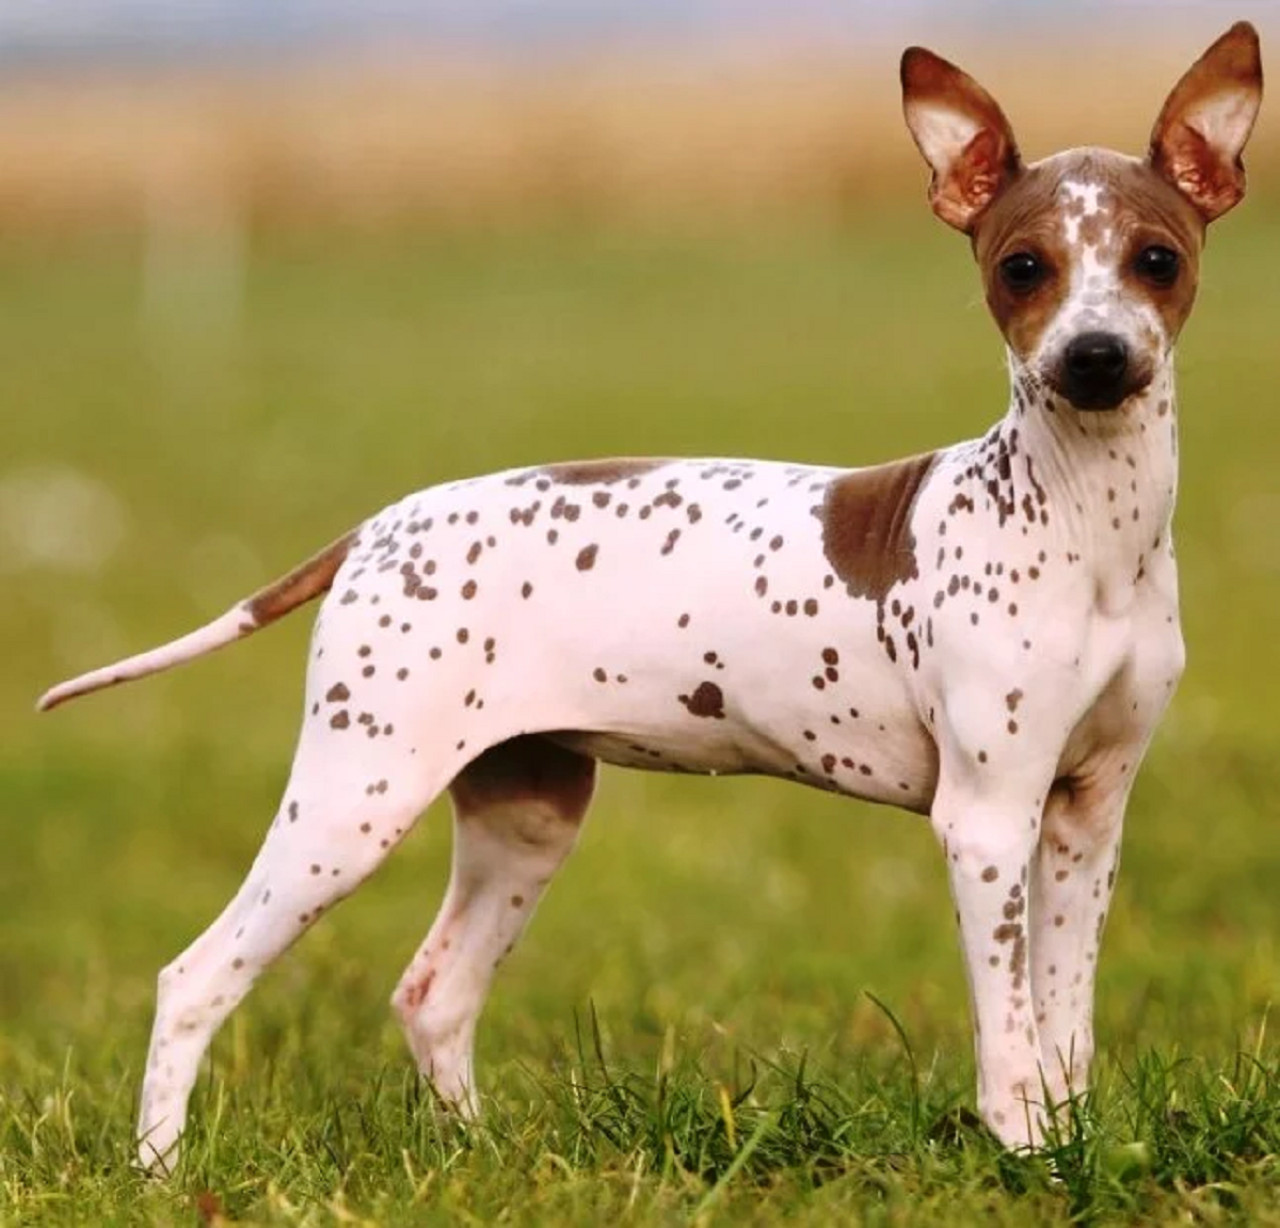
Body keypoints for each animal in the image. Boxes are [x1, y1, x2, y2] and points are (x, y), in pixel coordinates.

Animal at [37, 24, 1259, 1167]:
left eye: (1155, 259)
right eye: (1022, 269)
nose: (1093, 356)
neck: (1082, 523)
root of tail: (376, 530)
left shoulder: (1085, 815)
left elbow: (1063, 1023)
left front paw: (1073, 1143)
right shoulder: (987, 820)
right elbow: (1007, 1035)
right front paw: (1023, 1156)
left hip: (525, 811)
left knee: (433, 992)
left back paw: (479, 1154)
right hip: (353, 801)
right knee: (194, 978)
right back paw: (158, 1173)